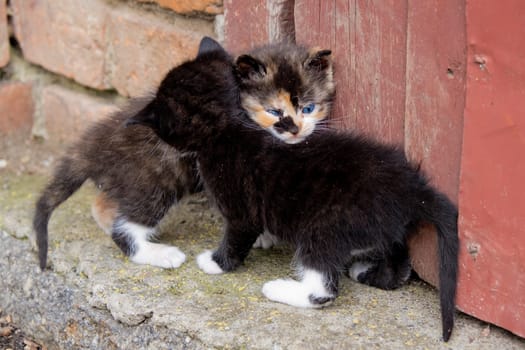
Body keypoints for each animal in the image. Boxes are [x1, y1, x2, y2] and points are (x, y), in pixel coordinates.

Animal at [130, 39, 458, 342]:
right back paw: (366, 271)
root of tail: (412, 189)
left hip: (323, 228)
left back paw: (279, 288)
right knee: (398, 264)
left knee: (323, 290)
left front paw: (215, 262)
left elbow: (237, 238)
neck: (226, 127)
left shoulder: (240, 208)